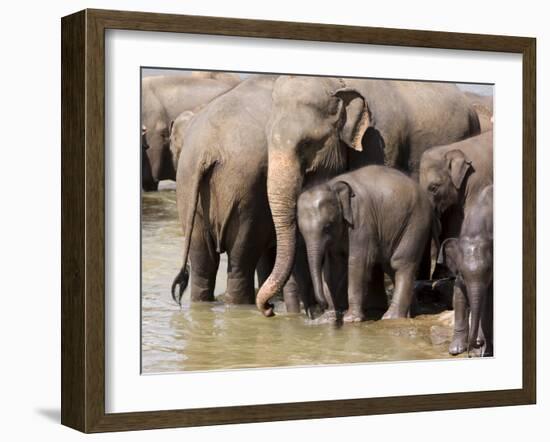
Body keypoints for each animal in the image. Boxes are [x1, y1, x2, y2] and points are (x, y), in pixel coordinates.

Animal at [298, 166, 436, 322]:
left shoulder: (361, 221)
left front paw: (350, 319)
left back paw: (391, 317)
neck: (332, 185)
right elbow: (332, 268)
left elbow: (358, 262)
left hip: (416, 223)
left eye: (327, 226)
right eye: (300, 231)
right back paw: (410, 315)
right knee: (391, 267)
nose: (320, 307)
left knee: (401, 263)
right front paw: (327, 319)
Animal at [440, 185, 496, 358]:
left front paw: (483, 350)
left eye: (489, 271)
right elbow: (458, 295)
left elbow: (489, 301)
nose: (475, 348)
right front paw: (455, 350)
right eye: (462, 274)